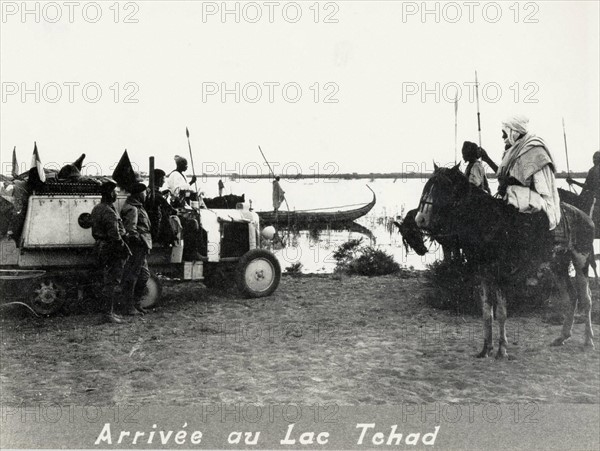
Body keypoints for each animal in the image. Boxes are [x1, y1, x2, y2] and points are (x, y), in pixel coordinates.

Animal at [414, 164, 596, 358]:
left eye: (443, 186)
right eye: (427, 185)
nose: (420, 219)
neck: (487, 223)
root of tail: (587, 218)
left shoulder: (500, 275)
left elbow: (501, 312)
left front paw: (502, 349)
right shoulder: (483, 274)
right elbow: (487, 312)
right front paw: (486, 348)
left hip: (581, 261)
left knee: (586, 299)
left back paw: (588, 340)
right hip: (558, 265)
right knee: (571, 296)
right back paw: (562, 337)